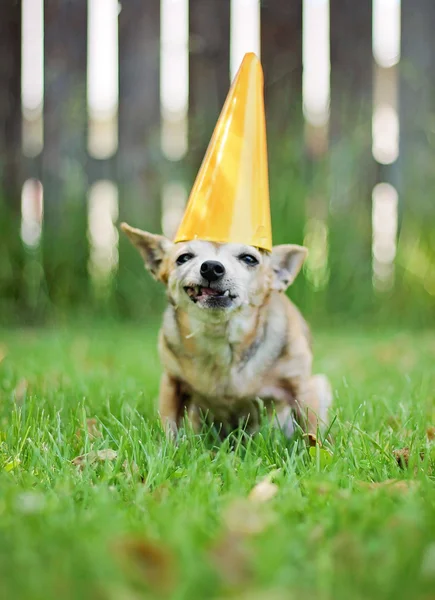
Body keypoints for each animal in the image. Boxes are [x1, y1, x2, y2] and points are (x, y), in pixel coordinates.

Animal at [121, 223, 332, 438]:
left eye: (249, 258)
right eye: (184, 258)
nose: (211, 267)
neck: (219, 336)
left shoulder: (303, 389)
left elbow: (312, 433)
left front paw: (317, 447)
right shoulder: (172, 385)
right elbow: (169, 427)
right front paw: (169, 444)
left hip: (319, 386)